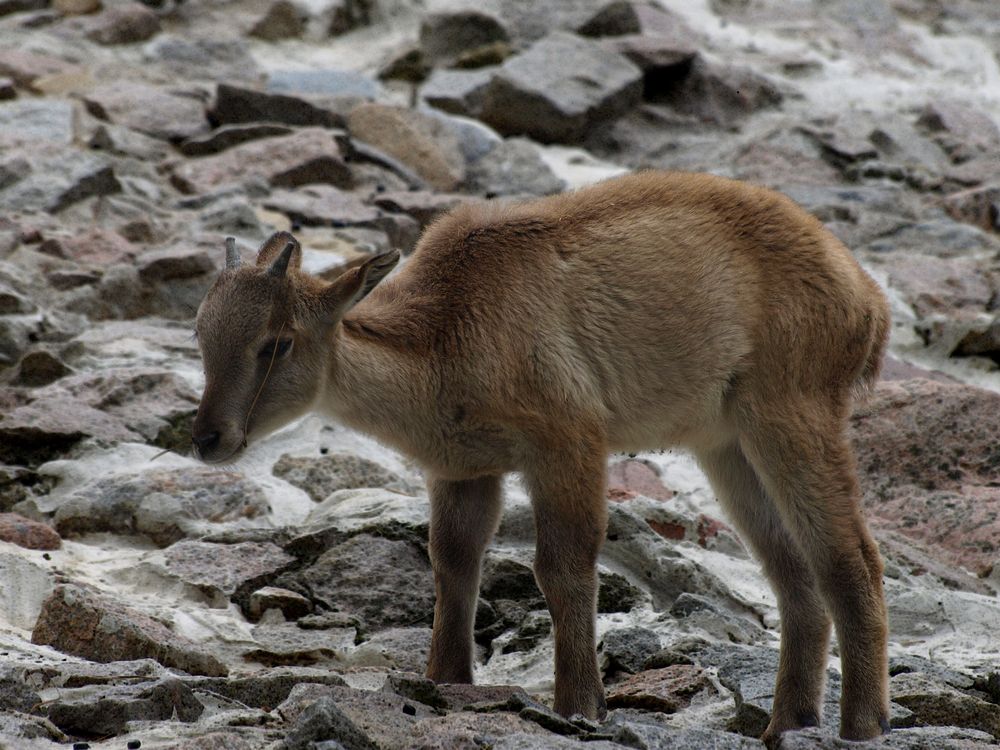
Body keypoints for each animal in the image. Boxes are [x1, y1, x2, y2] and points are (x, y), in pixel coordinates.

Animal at [193, 172, 892, 748]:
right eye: (200, 331)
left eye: (276, 343)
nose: (208, 438)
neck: (446, 336)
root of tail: (867, 300)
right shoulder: (464, 469)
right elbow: (453, 562)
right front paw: (445, 680)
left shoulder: (568, 439)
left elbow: (562, 565)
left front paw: (581, 705)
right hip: (727, 445)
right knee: (793, 572)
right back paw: (788, 723)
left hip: (790, 411)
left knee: (851, 556)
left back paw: (863, 724)